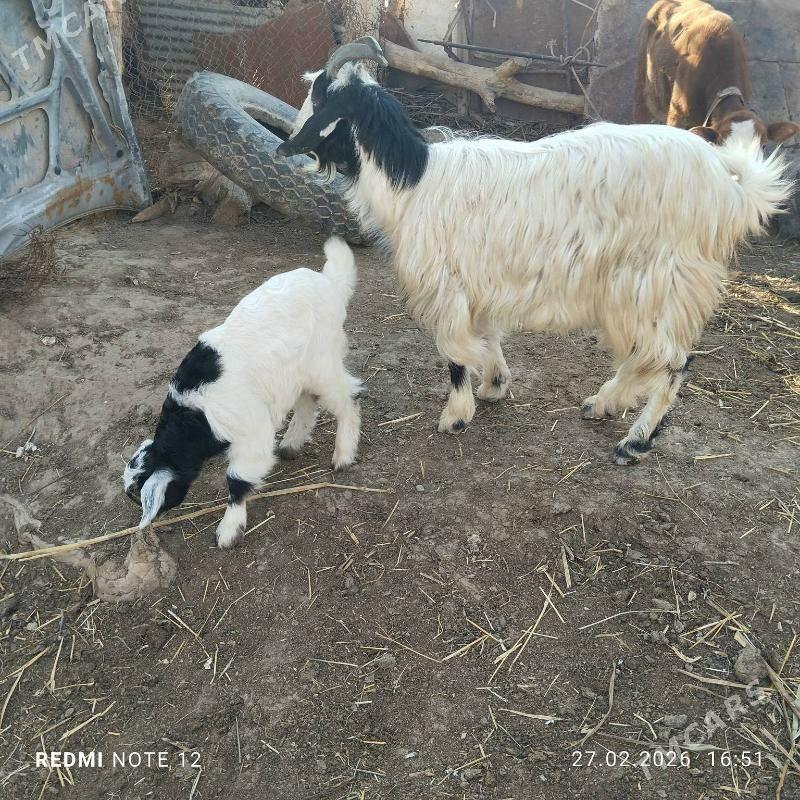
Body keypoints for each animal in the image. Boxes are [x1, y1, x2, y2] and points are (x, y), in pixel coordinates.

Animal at [123, 237, 362, 547]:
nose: (147, 523)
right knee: (307, 401)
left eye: (139, 496)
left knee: (349, 396)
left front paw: (228, 530)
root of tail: (329, 282)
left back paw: (343, 454)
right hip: (295, 373)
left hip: (322, 362)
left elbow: (238, 478)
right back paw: (291, 444)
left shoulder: (251, 431)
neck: (194, 416)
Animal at [277, 39, 791, 464]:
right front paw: (494, 385)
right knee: (650, 357)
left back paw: (634, 441)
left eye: (319, 97)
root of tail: (727, 186)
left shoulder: (446, 286)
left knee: (671, 359)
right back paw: (602, 404)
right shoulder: (478, 284)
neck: (414, 183)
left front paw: (455, 415)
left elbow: (454, 351)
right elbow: (486, 337)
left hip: (656, 280)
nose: (286, 144)